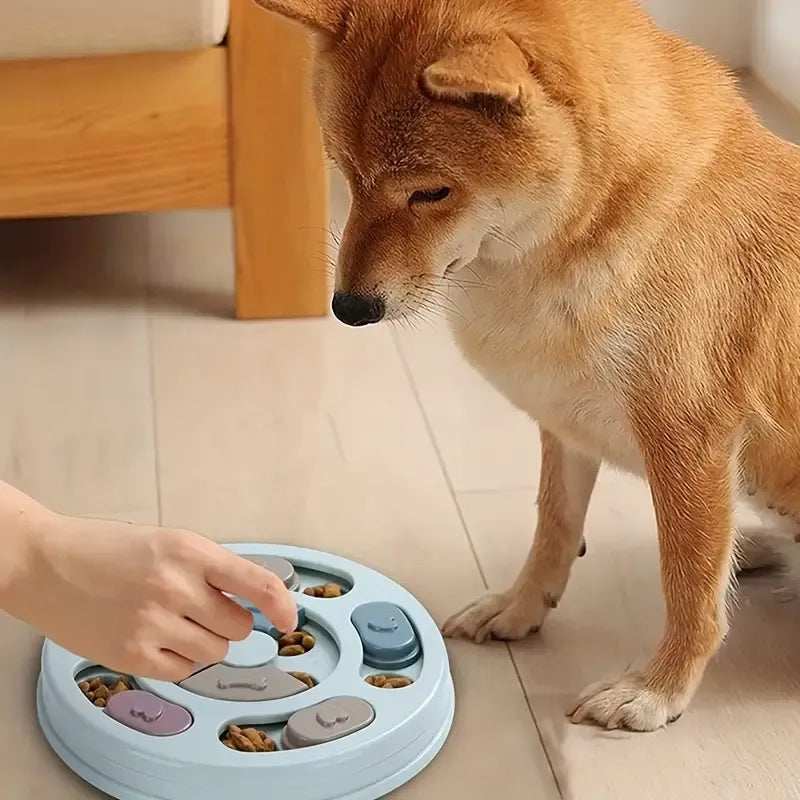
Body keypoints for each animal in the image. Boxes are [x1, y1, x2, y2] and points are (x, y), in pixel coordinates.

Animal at [255, 0, 800, 732]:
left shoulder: (689, 441)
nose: (348, 308)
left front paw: (657, 690)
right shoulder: (565, 423)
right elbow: (553, 528)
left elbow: (688, 585)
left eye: (431, 192)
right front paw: (518, 608)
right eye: (343, 172)